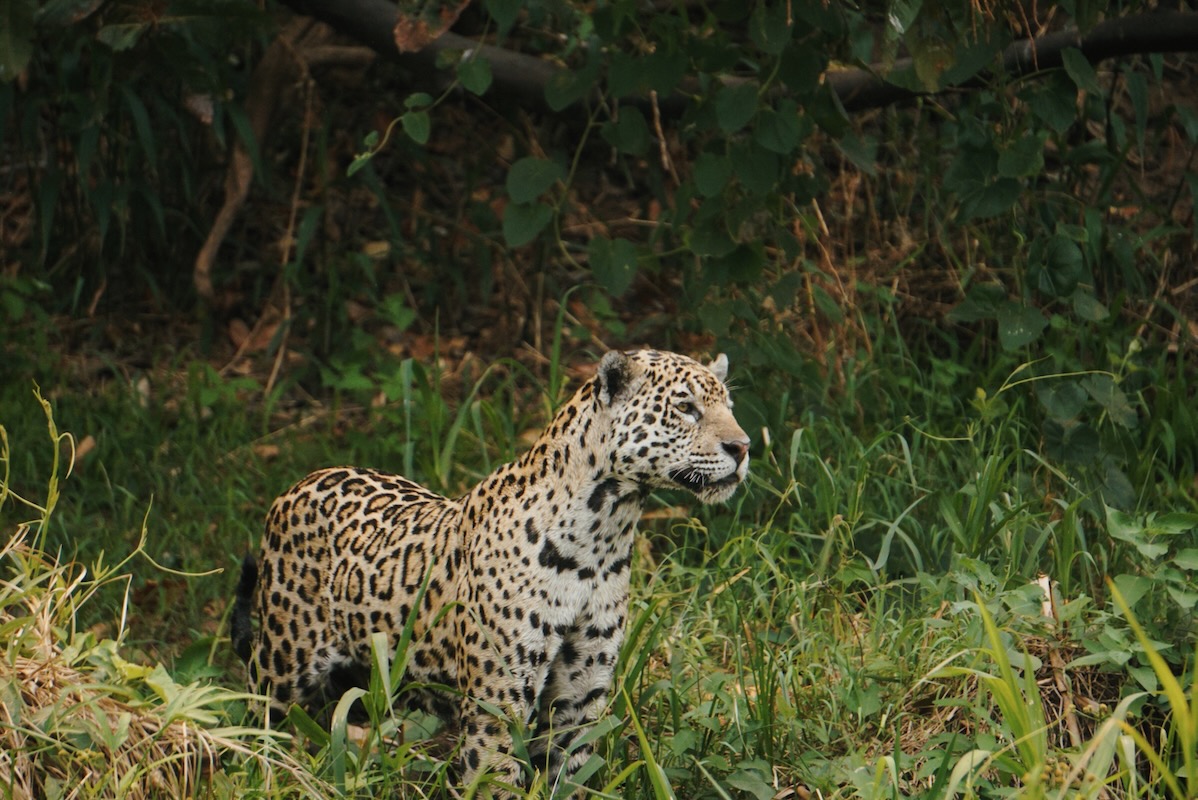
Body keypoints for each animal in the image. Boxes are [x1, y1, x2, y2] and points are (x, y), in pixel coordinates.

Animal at [231, 349, 750, 797]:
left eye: (728, 407)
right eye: (684, 408)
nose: (743, 447)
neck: (602, 536)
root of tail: (300, 482)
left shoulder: (580, 699)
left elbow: (569, 779)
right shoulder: (498, 701)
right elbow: (495, 778)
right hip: (282, 667)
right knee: (254, 726)